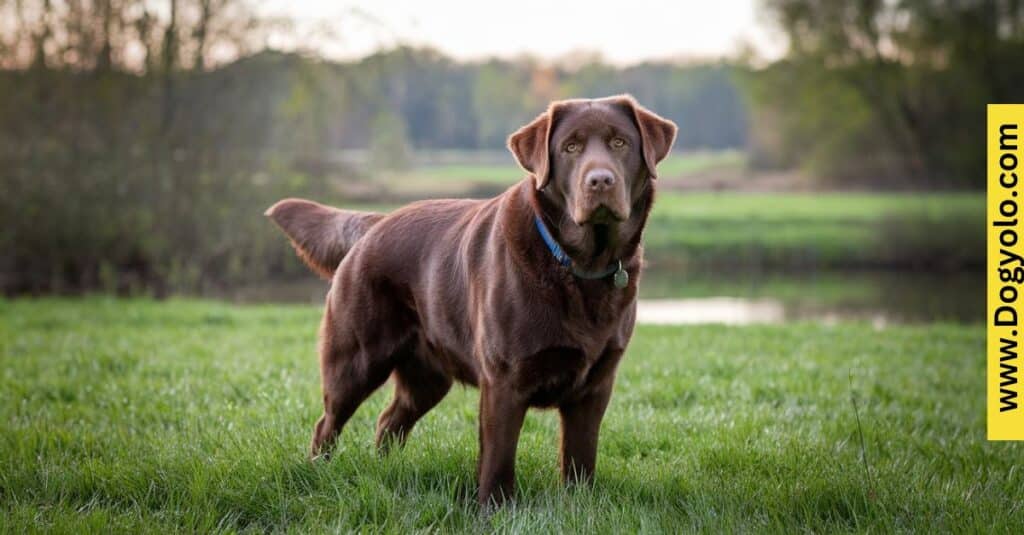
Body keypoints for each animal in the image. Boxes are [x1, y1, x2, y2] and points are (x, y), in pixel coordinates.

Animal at [268, 93, 675, 502]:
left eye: (619, 143)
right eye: (570, 147)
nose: (600, 180)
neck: (578, 265)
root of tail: (376, 223)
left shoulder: (595, 386)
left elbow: (580, 459)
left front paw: (578, 504)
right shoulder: (504, 381)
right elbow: (498, 459)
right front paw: (496, 508)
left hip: (427, 377)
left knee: (389, 420)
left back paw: (386, 470)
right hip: (356, 361)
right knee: (328, 422)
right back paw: (318, 473)